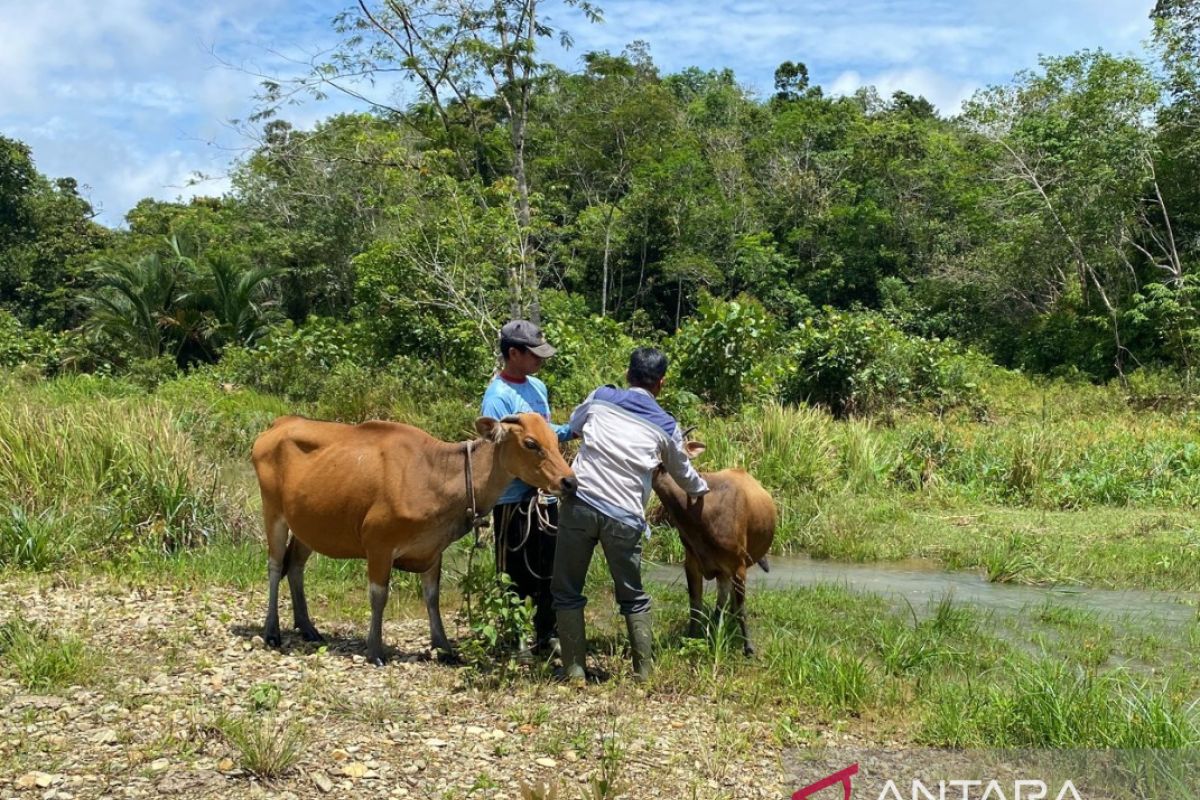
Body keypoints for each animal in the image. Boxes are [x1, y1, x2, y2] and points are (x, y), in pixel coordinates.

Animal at [249, 410, 576, 666]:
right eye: (531, 443)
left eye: (555, 440)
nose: (568, 481)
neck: (436, 474)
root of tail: (279, 424)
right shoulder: (378, 544)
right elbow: (378, 596)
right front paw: (375, 649)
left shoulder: (433, 550)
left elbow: (432, 597)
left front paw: (443, 647)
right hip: (273, 512)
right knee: (275, 566)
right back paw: (271, 631)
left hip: (308, 524)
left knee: (295, 566)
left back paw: (307, 628)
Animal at [652, 438, 772, 657]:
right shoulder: (692, 563)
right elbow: (695, 606)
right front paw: (690, 638)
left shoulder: (738, 566)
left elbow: (742, 609)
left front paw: (748, 647)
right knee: (722, 602)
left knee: (728, 603)